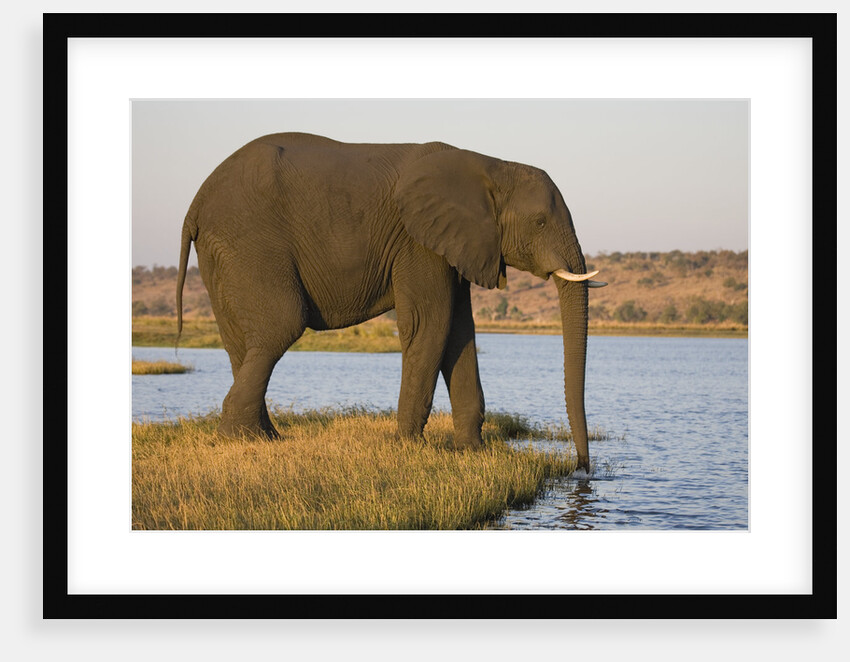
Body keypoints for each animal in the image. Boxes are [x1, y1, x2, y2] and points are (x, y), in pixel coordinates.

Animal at [176, 132, 606, 472]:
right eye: (540, 222)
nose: (582, 470)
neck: (492, 165)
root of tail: (195, 204)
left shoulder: (455, 245)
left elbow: (460, 333)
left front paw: (472, 453)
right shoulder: (418, 242)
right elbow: (430, 324)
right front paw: (409, 449)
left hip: (221, 253)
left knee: (241, 343)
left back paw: (266, 437)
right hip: (250, 242)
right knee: (281, 325)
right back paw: (243, 439)